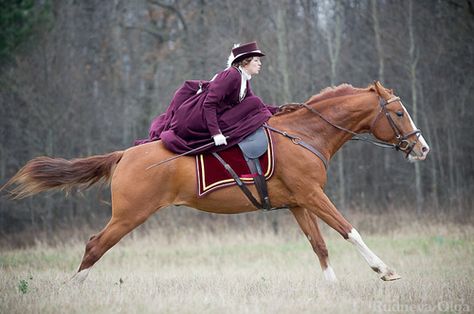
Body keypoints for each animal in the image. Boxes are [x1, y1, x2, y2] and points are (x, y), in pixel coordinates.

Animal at [1, 81, 430, 282]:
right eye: (399, 112)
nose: (422, 148)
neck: (305, 135)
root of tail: (124, 154)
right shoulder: (313, 195)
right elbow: (349, 231)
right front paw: (384, 270)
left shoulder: (298, 202)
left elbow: (319, 245)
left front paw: (332, 288)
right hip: (129, 215)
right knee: (94, 246)